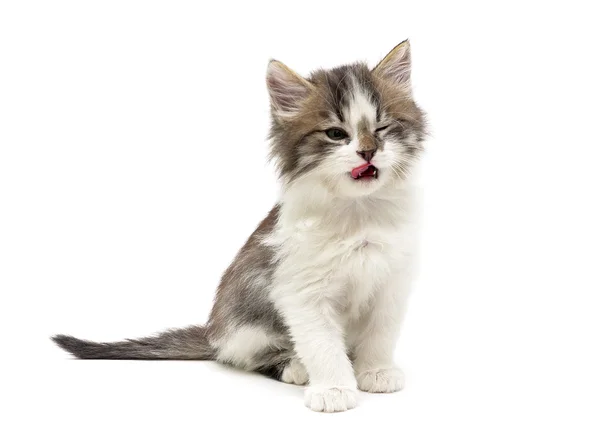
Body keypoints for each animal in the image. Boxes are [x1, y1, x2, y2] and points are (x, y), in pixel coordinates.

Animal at [51, 40, 426, 412]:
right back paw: (294, 366)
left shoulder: (392, 282)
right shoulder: (301, 290)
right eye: (336, 134)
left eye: (382, 129)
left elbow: (380, 333)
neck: (358, 211)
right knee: (244, 357)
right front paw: (333, 388)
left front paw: (376, 370)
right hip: (247, 325)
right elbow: (322, 343)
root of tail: (212, 332)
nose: (368, 152)